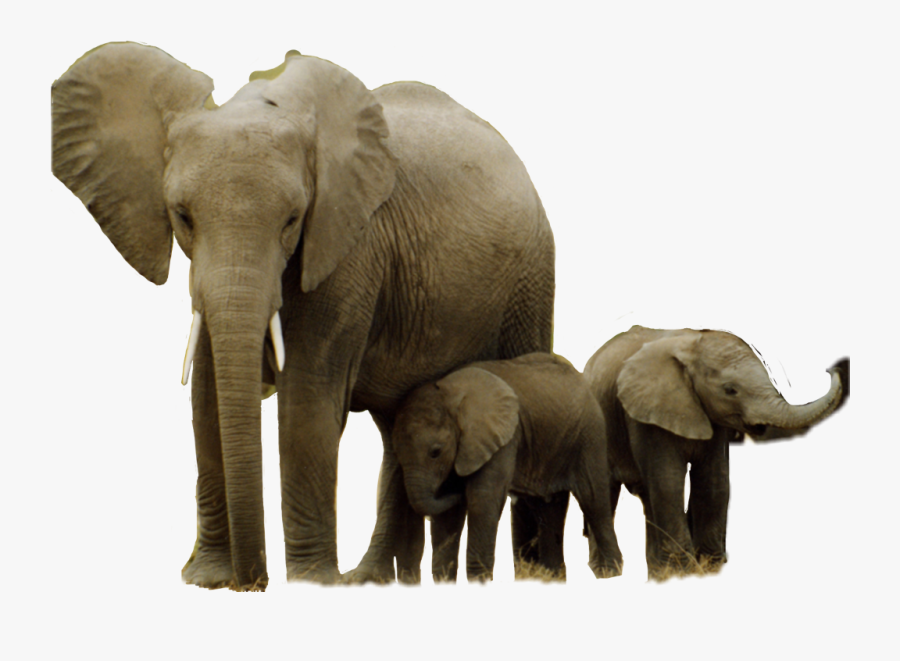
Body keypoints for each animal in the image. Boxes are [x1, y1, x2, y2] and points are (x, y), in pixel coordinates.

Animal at [51, 43, 555, 589]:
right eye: (182, 216)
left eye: (293, 220)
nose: (252, 582)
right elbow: (207, 397)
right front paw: (207, 580)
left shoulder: (350, 248)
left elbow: (307, 400)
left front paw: (311, 583)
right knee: (397, 427)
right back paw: (371, 580)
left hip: (531, 280)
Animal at [392, 353, 623, 582]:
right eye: (398, 457)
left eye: (435, 452)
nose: (458, 492)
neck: (450, 394)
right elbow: (447, 516)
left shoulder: (503, 439)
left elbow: (483, 499)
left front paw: (479, 581)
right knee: (549, 509)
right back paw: (553, 577)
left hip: (589, 434)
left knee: (594, 500)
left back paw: (612, 573)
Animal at [582, 325, 849, 579]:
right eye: (730, 390)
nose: (831, 368)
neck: (690, 345)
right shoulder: (646, 413)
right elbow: (669, 482)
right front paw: (684, 573)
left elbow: (713, 481)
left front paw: (707, 570)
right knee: (604, 492)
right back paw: (607, 574)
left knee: (648, 496)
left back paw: (658, 575)